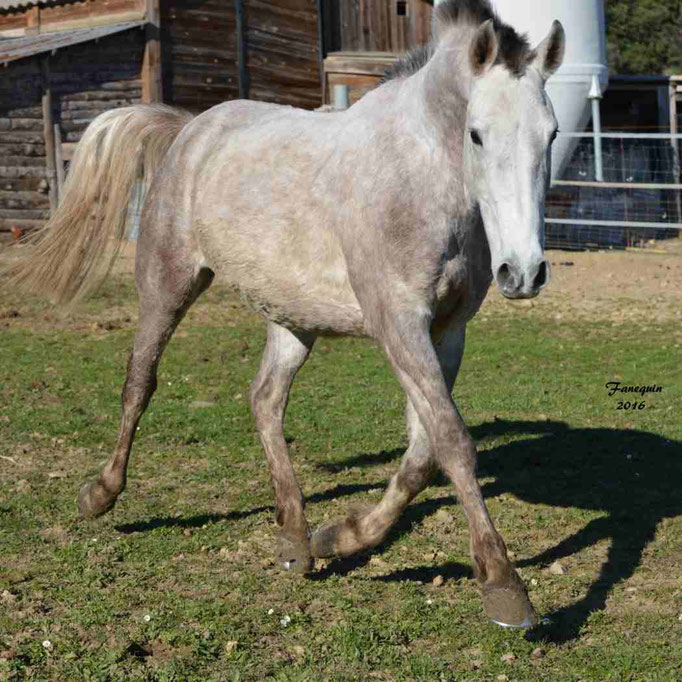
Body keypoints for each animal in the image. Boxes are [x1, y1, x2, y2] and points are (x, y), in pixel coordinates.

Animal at [9, 0, 564, 628]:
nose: (523, 272)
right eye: (476, 134)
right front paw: (503, 586)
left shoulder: (447, 333)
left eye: (551, 134)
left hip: (292, 320)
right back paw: (100, 494)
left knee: (265, 399)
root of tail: (189, 129)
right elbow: (452, 441)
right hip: (167, 282)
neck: (420, 180)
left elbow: (424, 453)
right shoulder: (397, 323)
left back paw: (297, 538)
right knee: (139, 383)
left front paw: (342, 537)